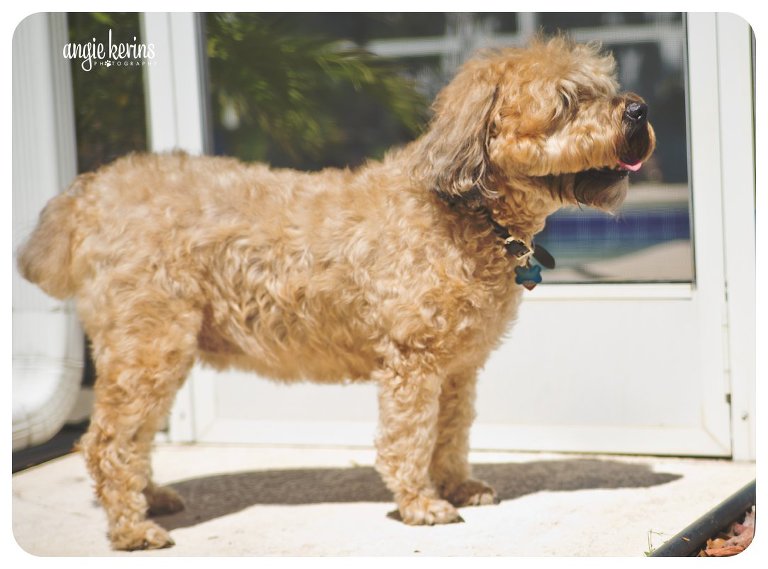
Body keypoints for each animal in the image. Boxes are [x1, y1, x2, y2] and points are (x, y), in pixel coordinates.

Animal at [18, 36, 652, 552]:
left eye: (606, 87)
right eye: (567, 102)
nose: (640, 109)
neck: (465, 214)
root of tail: (89, 193)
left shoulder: (457, 368)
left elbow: (451, 434)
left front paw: (457, 486)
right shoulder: (412, 364)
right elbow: (409, 439)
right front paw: (421, 505)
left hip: (149, 351)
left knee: (132, 433)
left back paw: (150, 498)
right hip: (150, 344)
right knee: (105, 441)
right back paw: (131, 528)